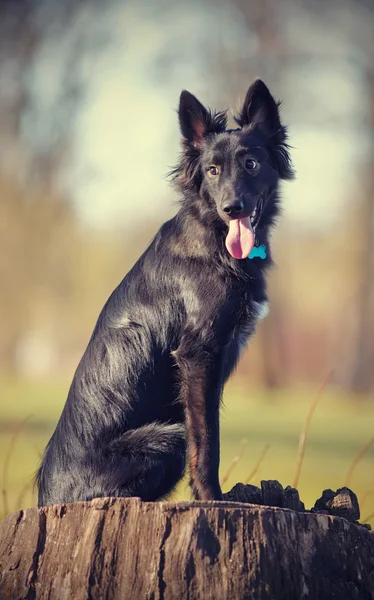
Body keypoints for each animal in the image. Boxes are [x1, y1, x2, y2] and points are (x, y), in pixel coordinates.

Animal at [38, 79, 296, 506]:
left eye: (251, 164)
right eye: (212, 170)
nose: (232, 208)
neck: (214, 239)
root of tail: (47, 499)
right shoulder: (198, 354)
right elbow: (206, 441)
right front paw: (211, 498)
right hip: (165, 438)